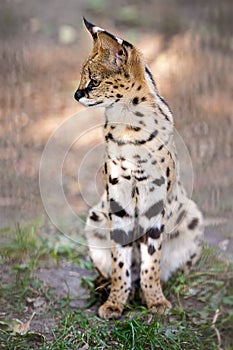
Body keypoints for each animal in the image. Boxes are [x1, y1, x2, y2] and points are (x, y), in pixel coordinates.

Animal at [74, 19, 204, 320]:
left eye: (93, 81)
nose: (76, 94)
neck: (128, 127)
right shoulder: (118, 196)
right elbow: (119, 260)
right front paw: (115, 302)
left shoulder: (154, 199)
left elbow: (151, 261)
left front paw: (155, 300)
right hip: (96, 216)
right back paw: (111, 289)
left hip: (192, 216)